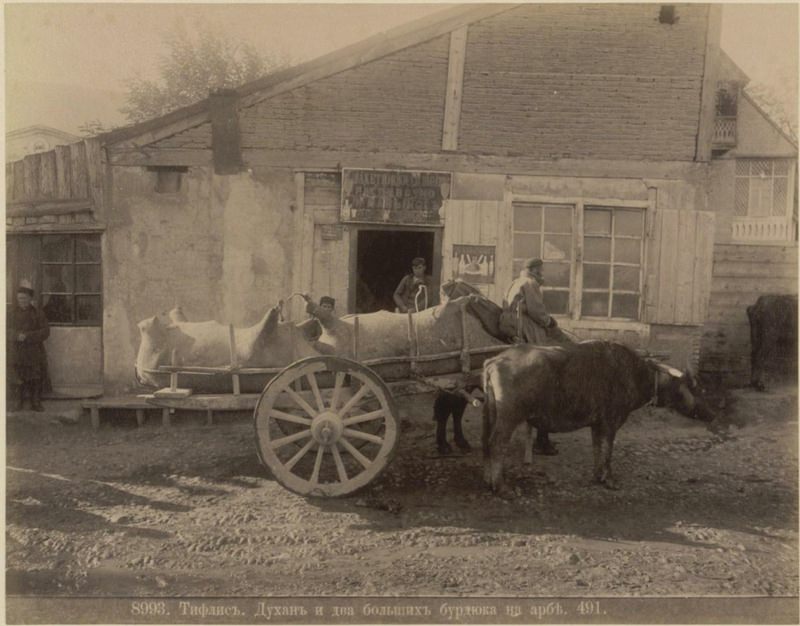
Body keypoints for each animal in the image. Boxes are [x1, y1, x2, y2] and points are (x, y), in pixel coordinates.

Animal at [478, 342, 716, 492]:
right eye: (695, 387)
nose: (712, 414)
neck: (633, 374)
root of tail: (497, 359)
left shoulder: (596, 424)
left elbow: (596, 449)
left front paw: (596, 476)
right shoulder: (611, 422)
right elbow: (607, 451)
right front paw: (609, 479)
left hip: (491, 413)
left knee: (486, 444)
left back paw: (488, 480)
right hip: (509, 417)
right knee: (496, 443)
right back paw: (501, 486)